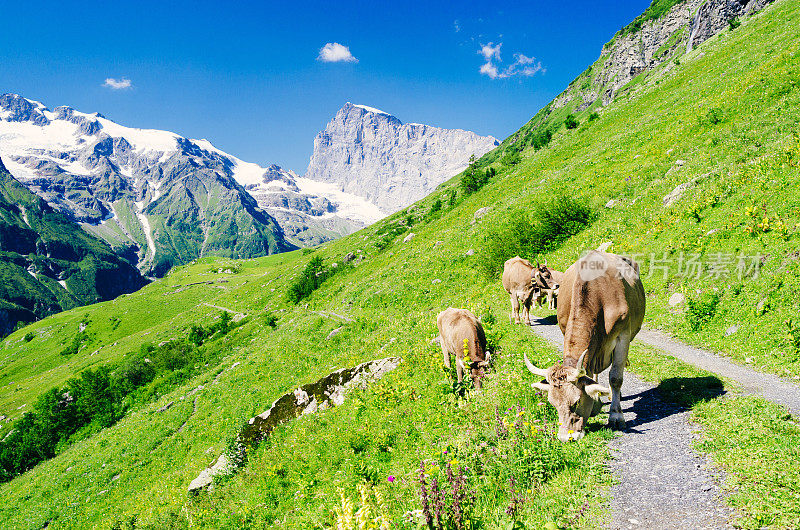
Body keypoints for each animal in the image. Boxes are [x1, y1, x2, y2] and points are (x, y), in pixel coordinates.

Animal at [524, 250, 644, 440]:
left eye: (576, 402)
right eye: (553, 404)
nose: (566, 437)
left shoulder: (623, 336)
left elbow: (615, 378)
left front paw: (616, 416)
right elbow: (589, 373)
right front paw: (595, 402)